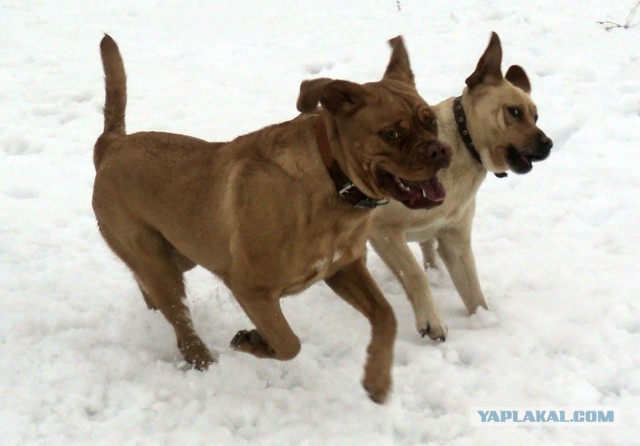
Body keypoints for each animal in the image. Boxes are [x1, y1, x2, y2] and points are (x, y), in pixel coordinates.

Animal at [92, 35, 450, 404]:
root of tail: (111, 145)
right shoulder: (251, 288)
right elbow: (288, 342)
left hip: (181, 251)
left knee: (150, 290)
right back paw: (204, 360)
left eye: (431, 122)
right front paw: (254, 341)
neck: (333, 181)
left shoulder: (344, 269)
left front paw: (377, 381)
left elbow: (386, 315)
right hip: (158, 263)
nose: (440, 150)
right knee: (181, 324)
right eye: (392, 134)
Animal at [368, 33, 552, 340]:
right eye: (514, 112)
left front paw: (485, 323)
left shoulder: (455, 239)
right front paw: (431, 320)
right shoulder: (383, 231)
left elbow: (473, 291)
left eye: (536, 117)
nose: (549, 144)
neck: (463, 153)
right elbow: (413, 275)